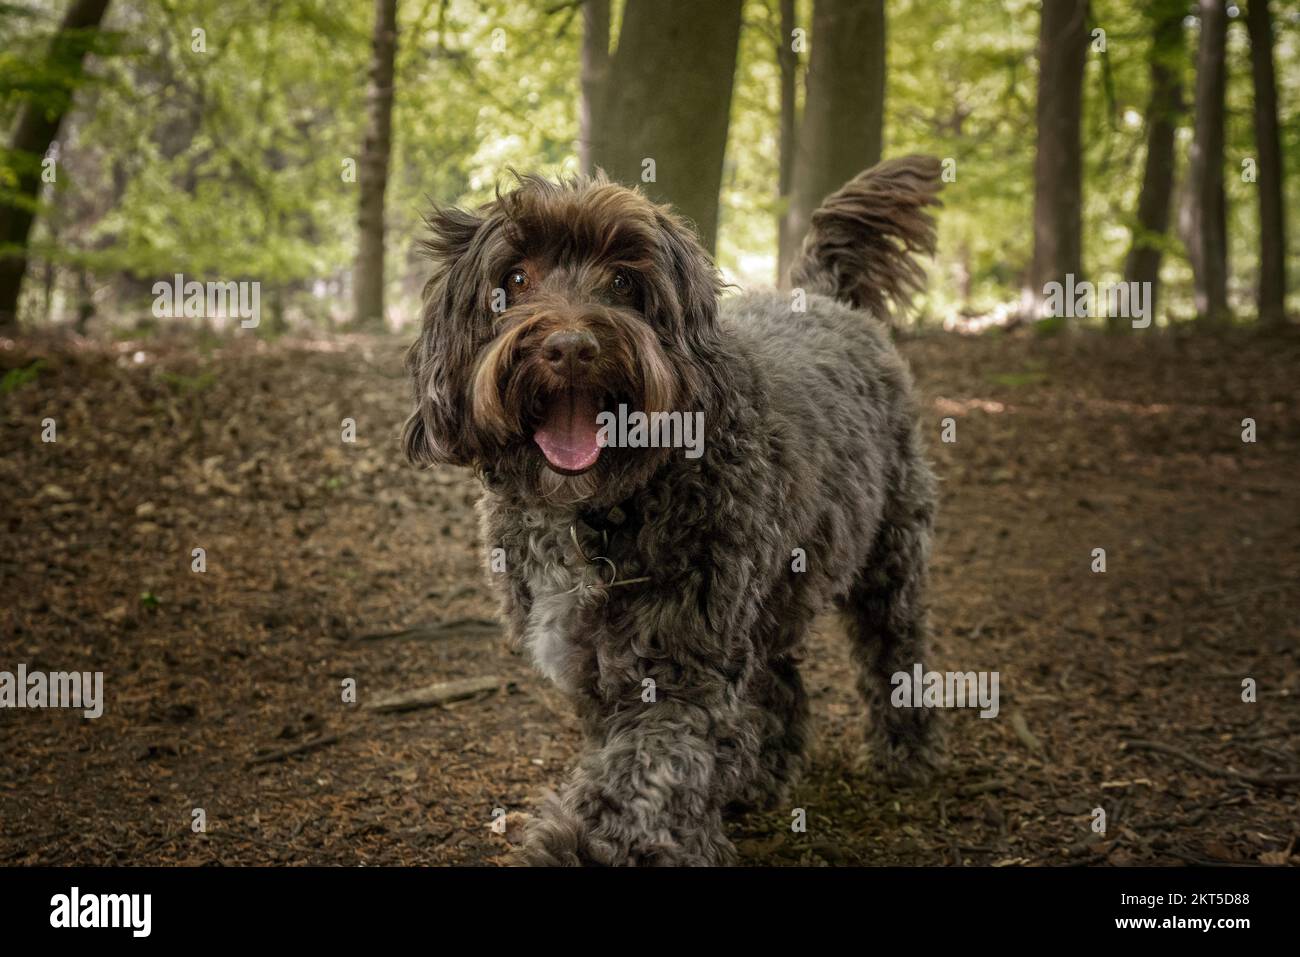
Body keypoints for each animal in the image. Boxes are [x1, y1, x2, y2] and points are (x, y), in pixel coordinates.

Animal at [400, 157, 941, 868]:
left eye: (624, 280)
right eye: (514, 279)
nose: (569, 347)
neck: (596, 511)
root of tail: (823, 296)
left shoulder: (678, 668)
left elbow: (644, 777)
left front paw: (587, 848)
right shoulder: (599, 667)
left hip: (889, 555)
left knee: (895, 650)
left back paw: (908, 753)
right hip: (775, 590)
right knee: (778, 683)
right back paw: (760, 776)